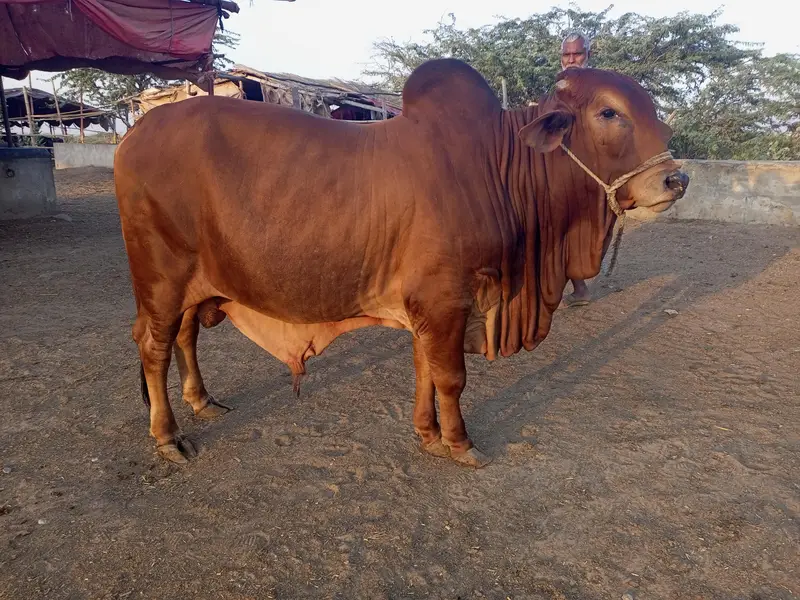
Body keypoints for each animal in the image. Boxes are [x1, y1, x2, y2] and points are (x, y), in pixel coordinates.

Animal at [114, 58, 689, 467]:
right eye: (609, 113)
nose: (676, 179)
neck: (499, 168)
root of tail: (132, 135)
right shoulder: (444, 300)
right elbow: (451, 377)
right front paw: (460, 443)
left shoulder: (432, 307)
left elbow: (425, 371)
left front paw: (428, 435)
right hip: (161, 278)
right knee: (153, 345)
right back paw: (168, 437)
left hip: (196, 282)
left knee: (185, 335)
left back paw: (202, 400)